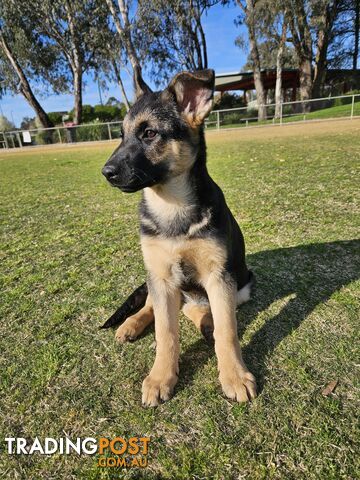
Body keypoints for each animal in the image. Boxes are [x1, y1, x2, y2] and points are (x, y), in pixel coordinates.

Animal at [102, 67, 256, 404]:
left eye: (149, 133)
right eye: (121, 134)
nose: (106, 173)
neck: (171, 206)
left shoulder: (219, 277)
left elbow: (227, 331)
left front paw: (235, 376)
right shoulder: (160, 276)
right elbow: (166, 332)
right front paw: (161, 377)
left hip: (240, 286)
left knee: (197, 309)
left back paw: (207, 322)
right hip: (158, 281)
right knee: (156, 307)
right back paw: (131, 324)